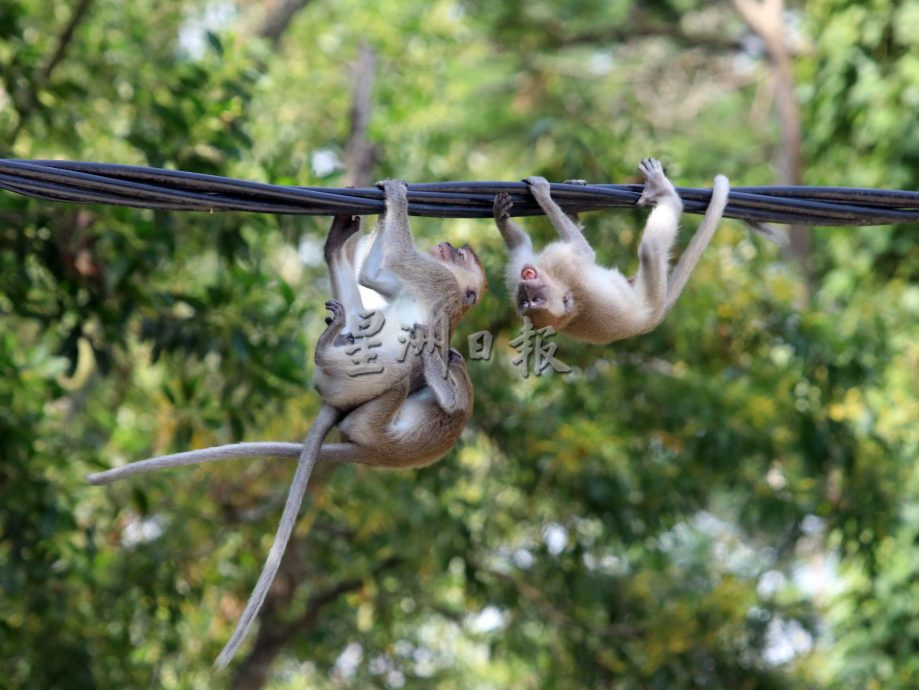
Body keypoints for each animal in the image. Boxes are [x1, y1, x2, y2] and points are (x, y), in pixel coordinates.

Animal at [492, 157, 728, 342]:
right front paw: (543, 196)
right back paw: (664, 192)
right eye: (526, 302)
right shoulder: (560, 269)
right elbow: (582, 251)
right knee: (650, 250)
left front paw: (504, 216)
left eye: (535, 300)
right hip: (652, 294)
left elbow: (522, 244)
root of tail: (652, 318)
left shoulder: (545, 271)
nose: (526, 287)